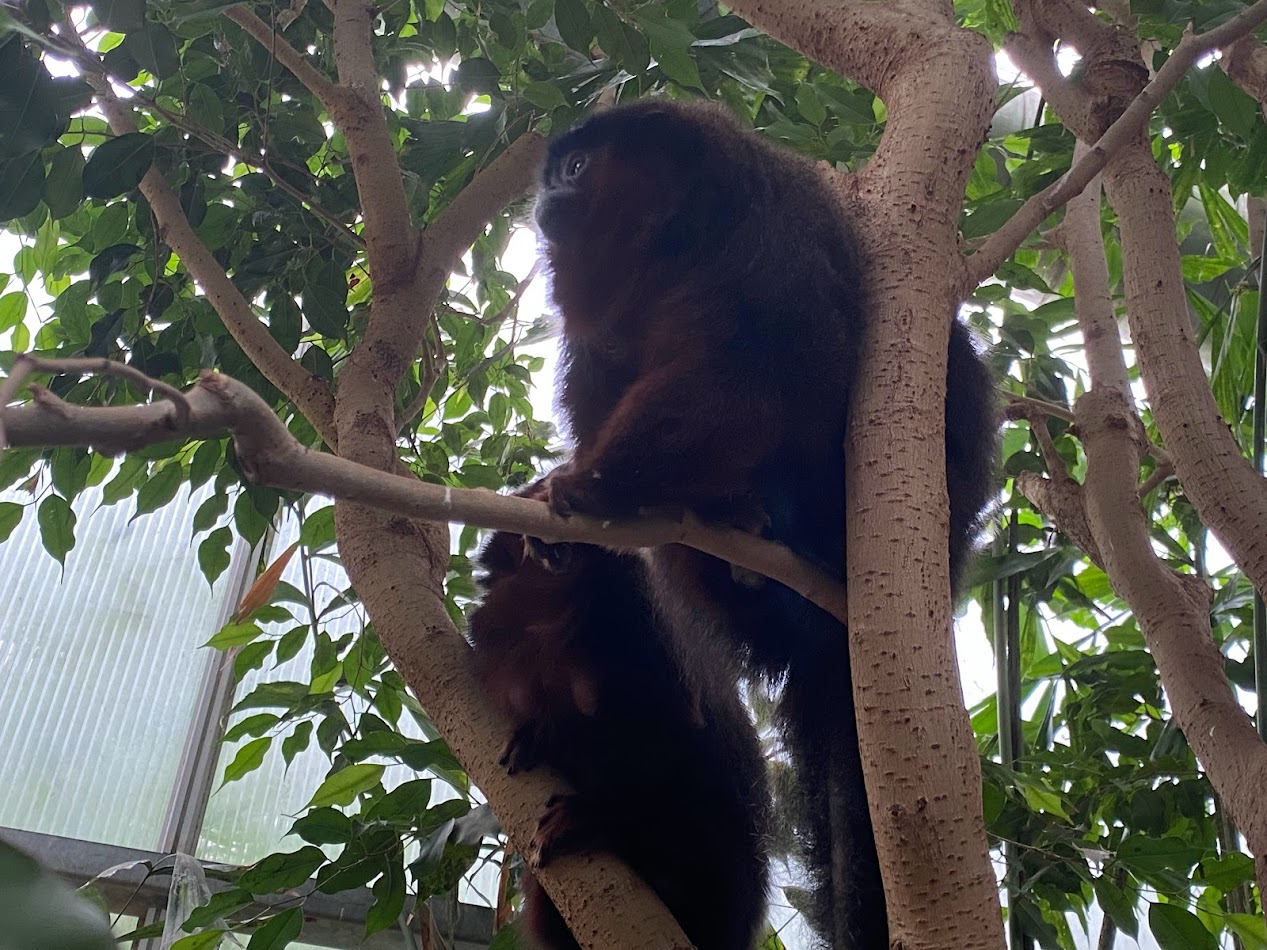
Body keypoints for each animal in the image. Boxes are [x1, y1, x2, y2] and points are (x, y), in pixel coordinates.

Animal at [530, 98, 999, 949]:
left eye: (576, 169)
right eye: (551, 173)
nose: (546, 195)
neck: (674, 242)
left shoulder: (765, 236)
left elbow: (742, 378)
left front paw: (595, 483)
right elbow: (604, 386)